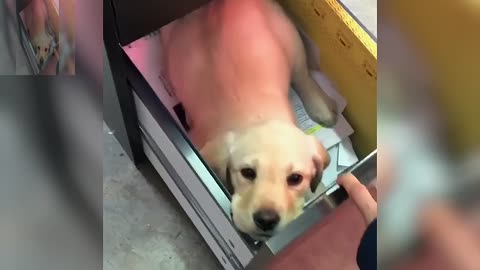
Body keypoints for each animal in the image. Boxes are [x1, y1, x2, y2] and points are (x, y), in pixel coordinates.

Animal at [161, 0, 338, 240]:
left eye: (295, 178)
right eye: (247, 173)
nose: (266, 220)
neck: (257, 116)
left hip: (289, 39)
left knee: (302, 75)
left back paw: (321, 107)